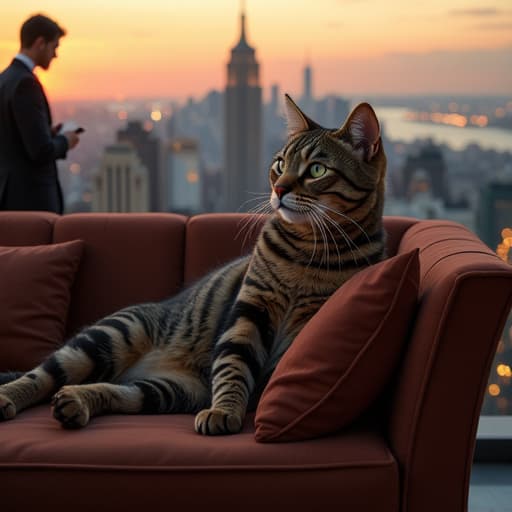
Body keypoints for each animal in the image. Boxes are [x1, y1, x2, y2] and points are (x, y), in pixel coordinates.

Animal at [0, 94, 386, 434]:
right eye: (279, 164)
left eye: (317, 170)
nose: (279, 189)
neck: (308, 250)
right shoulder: (250, 309)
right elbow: (233, 365)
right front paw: (224, 410)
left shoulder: (308, 321)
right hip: (110, 335)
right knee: (41, 376)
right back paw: (10, 397)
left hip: (168, 389)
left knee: (115, 391)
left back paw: (75, 403)